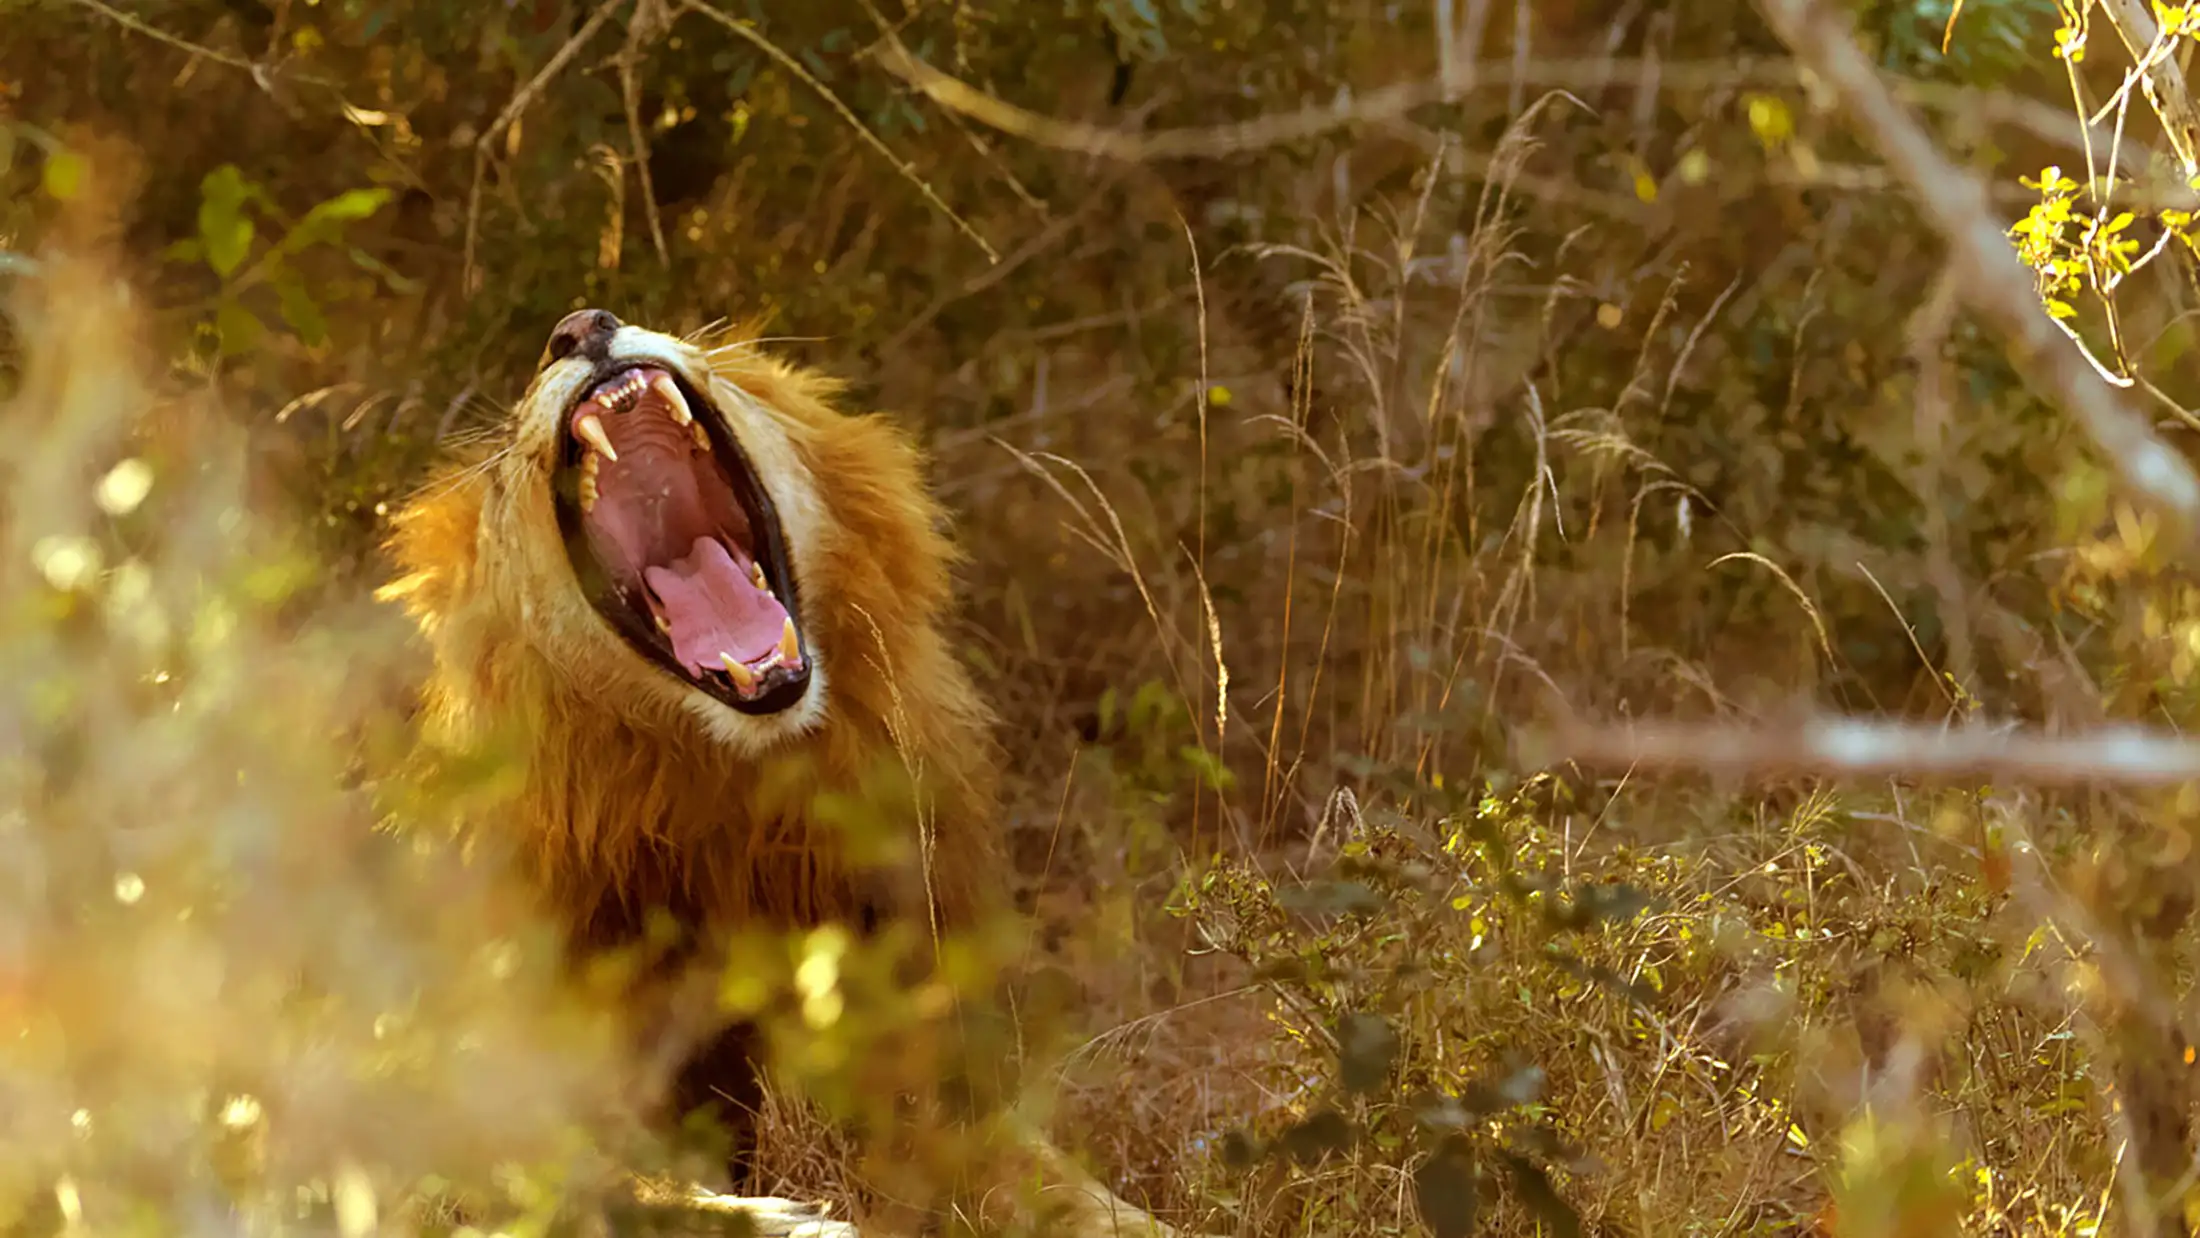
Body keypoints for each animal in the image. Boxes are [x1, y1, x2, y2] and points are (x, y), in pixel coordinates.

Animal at [375, 308, 1182, 1237]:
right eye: (509, 440)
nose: (579, 326)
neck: (735, 802)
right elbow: (583, 1181)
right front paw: (784, 1220)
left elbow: (1037, 1175)